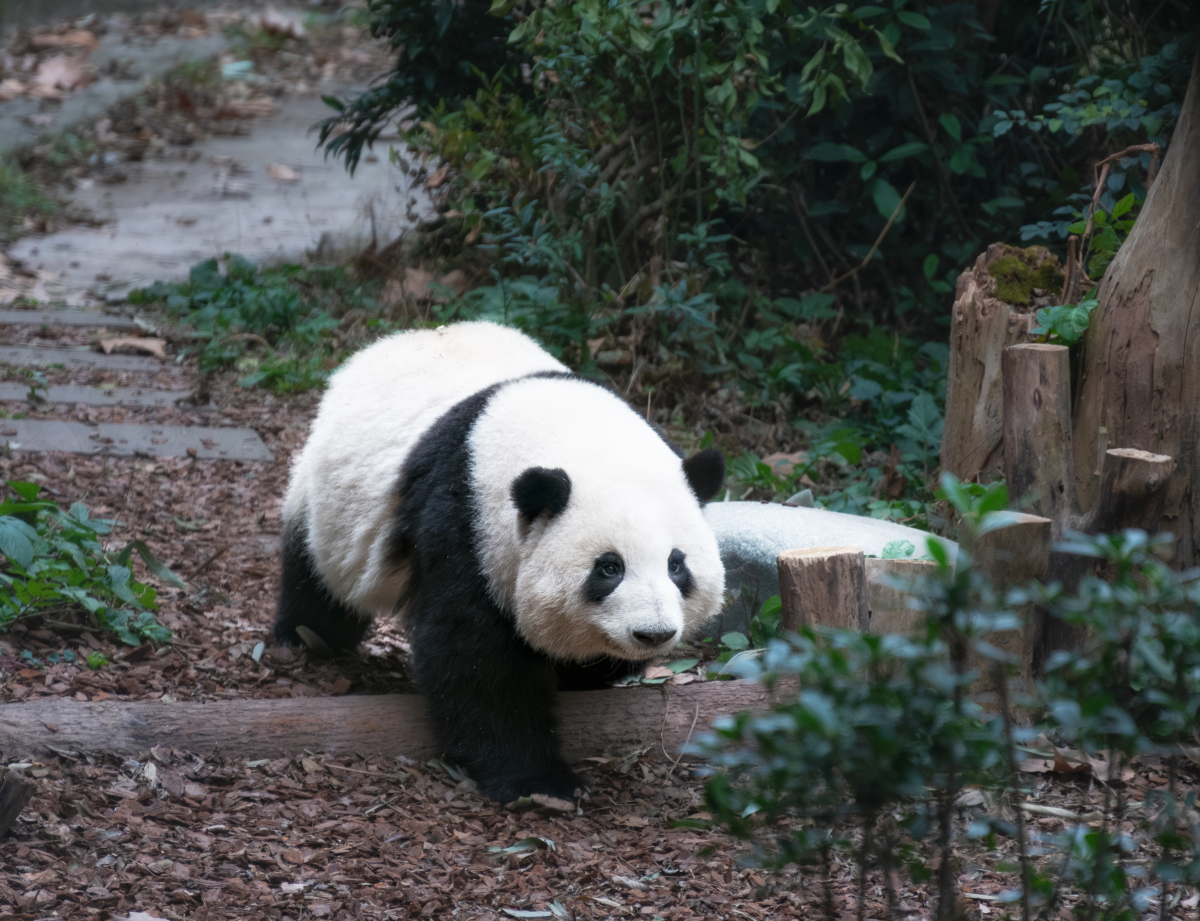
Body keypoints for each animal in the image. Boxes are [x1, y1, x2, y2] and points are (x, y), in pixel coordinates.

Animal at [276, 321, 724, 801]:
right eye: (609, 568)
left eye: (676, 565)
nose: (653, 633)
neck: (582, 437)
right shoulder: (466, 522)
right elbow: (475, 657)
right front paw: (538, 780)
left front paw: (579, 674)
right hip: (328, 505)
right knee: (318, 584)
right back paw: (302, 640)